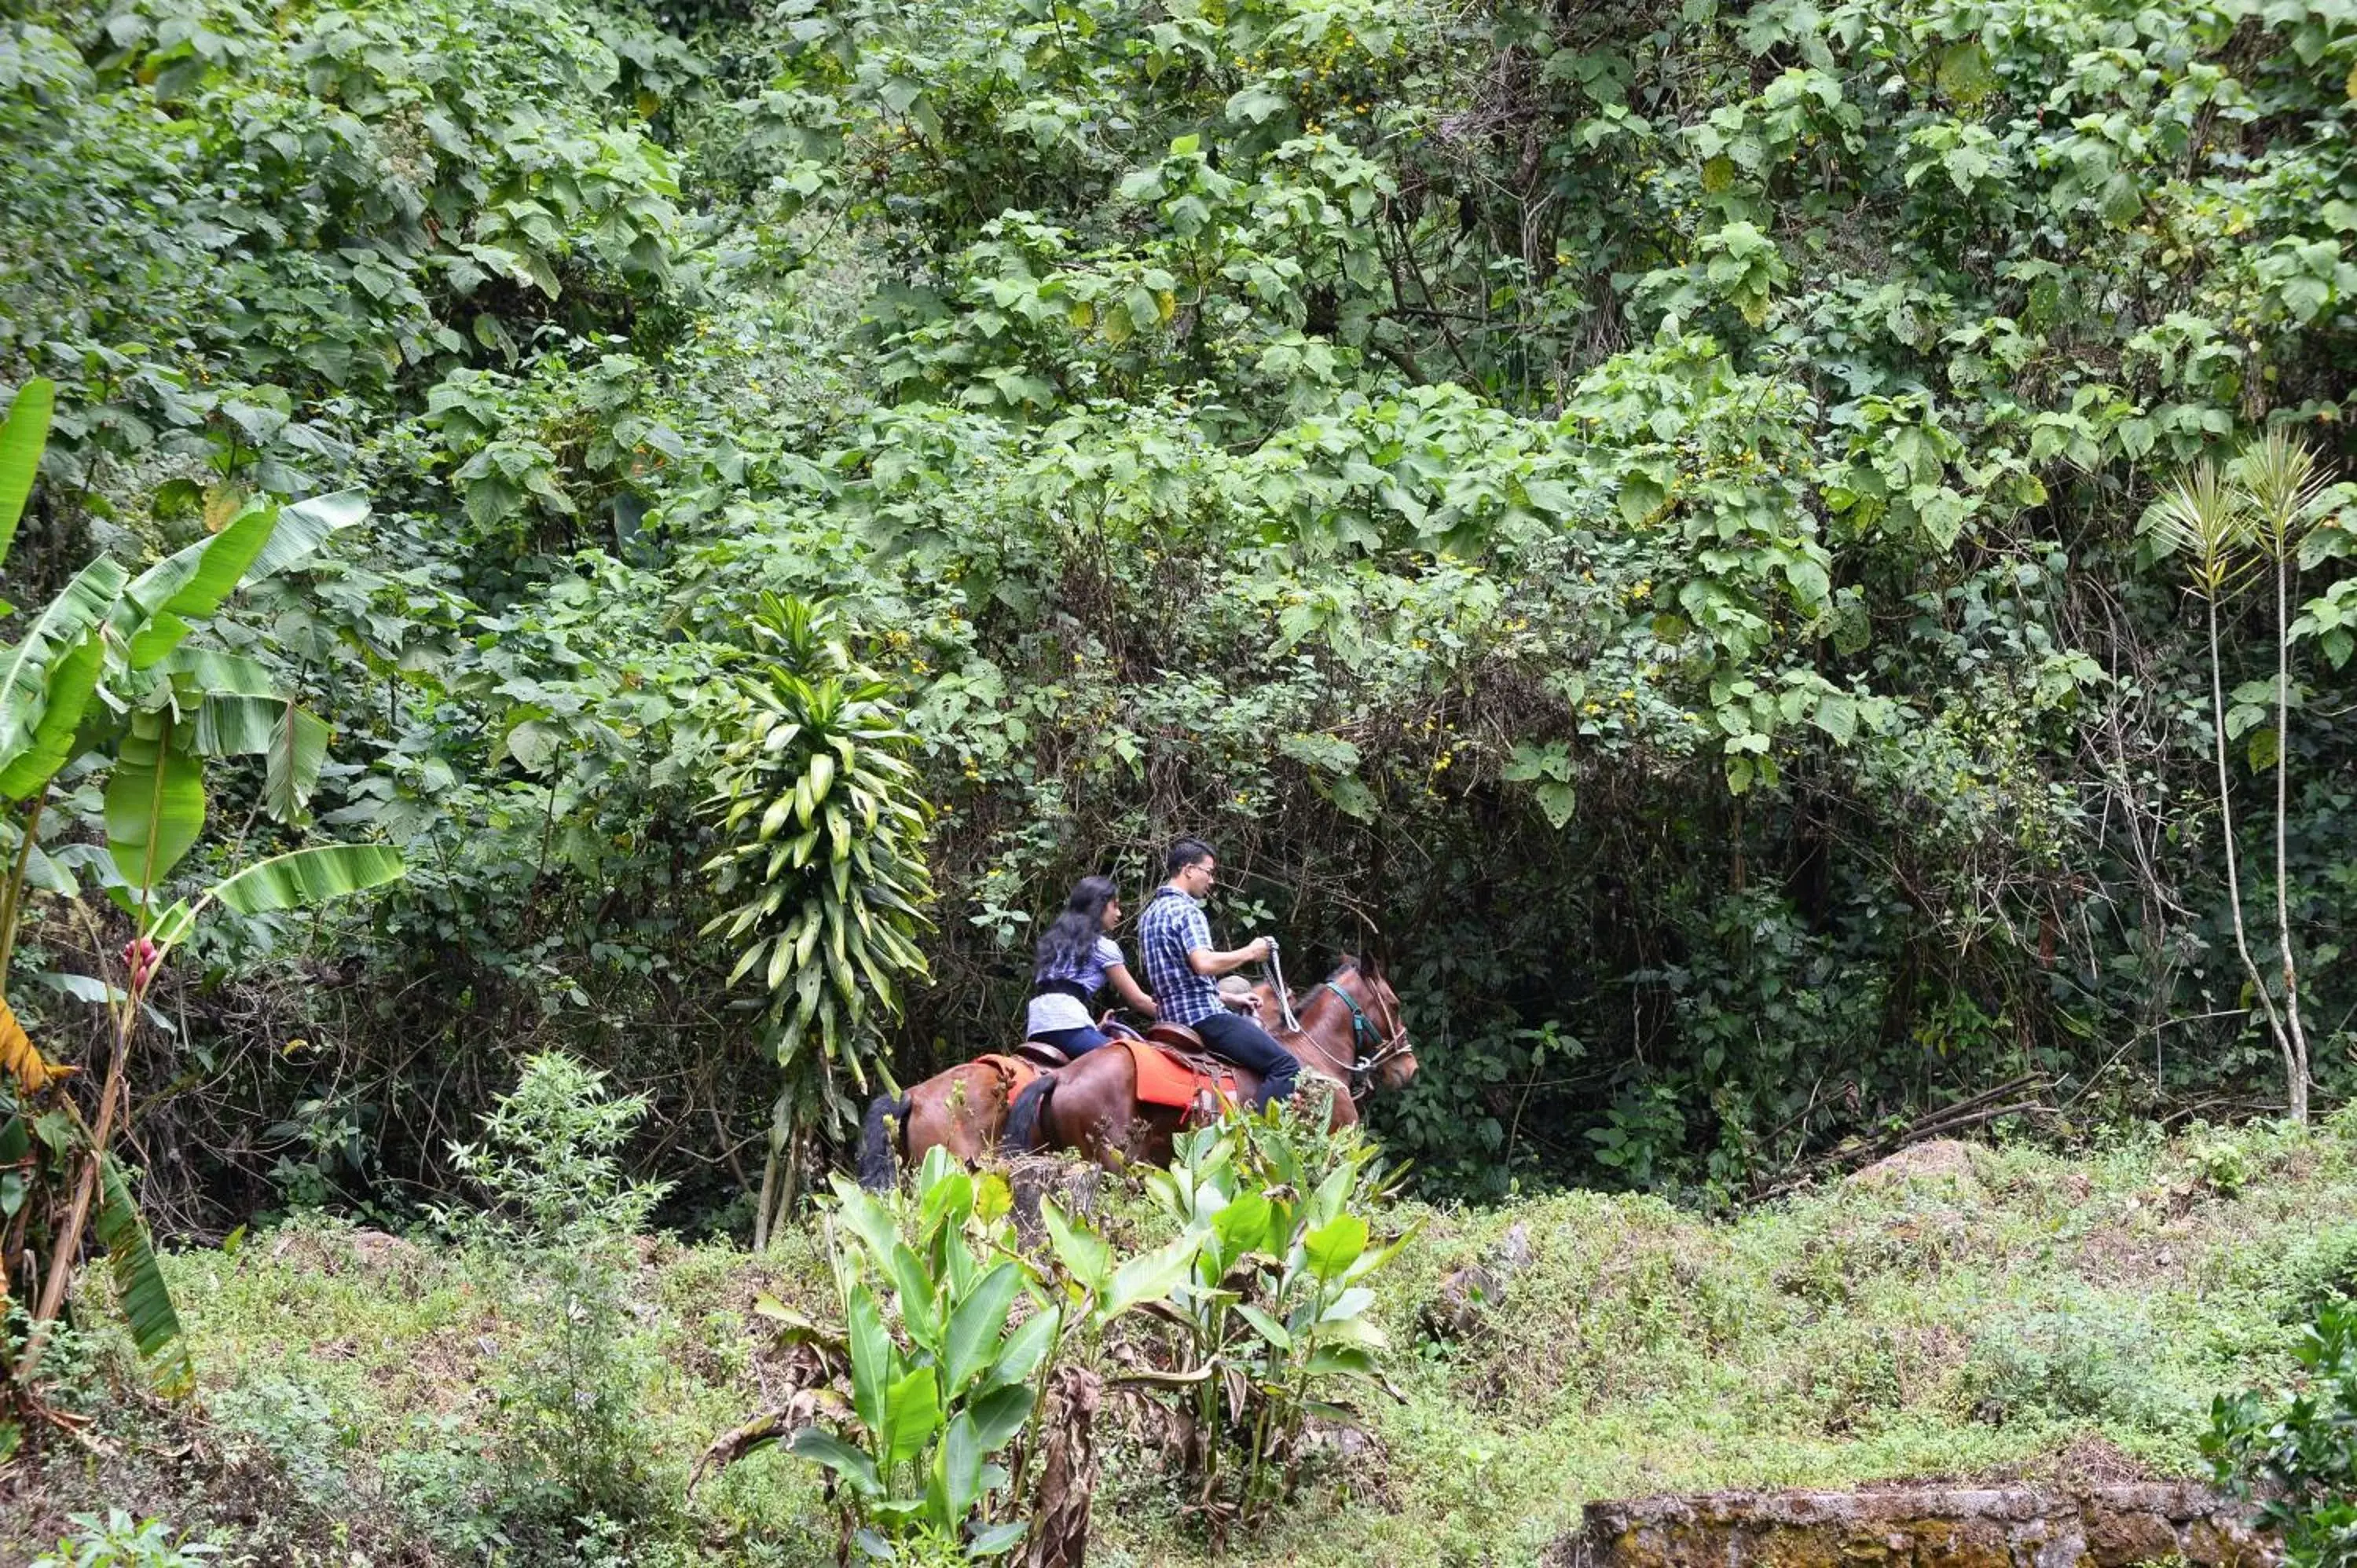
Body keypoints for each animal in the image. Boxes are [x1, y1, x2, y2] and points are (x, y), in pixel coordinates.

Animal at [995, 962, 1414, 1169]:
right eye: (1394, 1005)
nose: (1409, 1067)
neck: (1316, 1059)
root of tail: (1063, 1076)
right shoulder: (1334, 1151)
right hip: (1113, 1163)